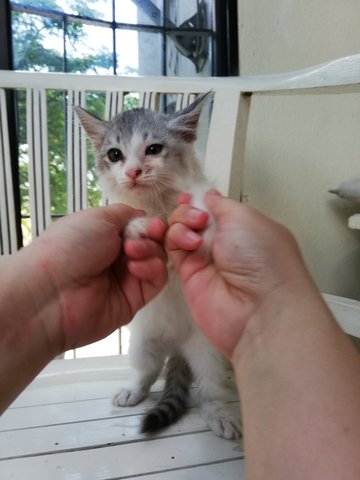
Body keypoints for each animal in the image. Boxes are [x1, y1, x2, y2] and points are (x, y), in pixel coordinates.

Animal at [74, 93, 240, 438]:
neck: (157, 204)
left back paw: (219, 413)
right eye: (115, 154)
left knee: (209, 388)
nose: (133, 172)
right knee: (147, 372)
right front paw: (138, 227)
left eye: (153, 149)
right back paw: (132, 391)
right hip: (142, 343)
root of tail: (177, 346)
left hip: (208, 350)